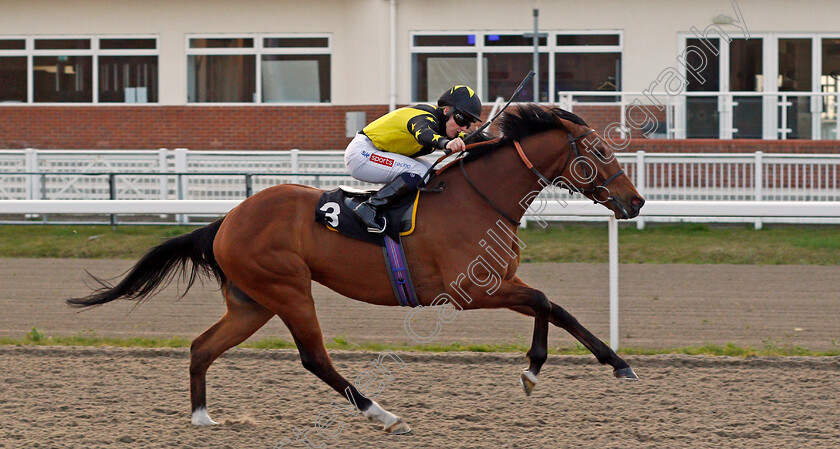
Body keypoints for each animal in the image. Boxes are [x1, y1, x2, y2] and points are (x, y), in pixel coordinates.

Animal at [67, 103, 644, 432]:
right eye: (597, 150)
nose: (635, 202)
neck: (481, 197)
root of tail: (227, 220)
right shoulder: (471, 292)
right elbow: (547, 303)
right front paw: (534, 368)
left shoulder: (500, 282)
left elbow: (557, 308)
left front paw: (613, 363)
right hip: (289, 291)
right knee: (314, 358)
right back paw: (381, 414)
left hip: (252, 303)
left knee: (202, 347)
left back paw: (203, 419)